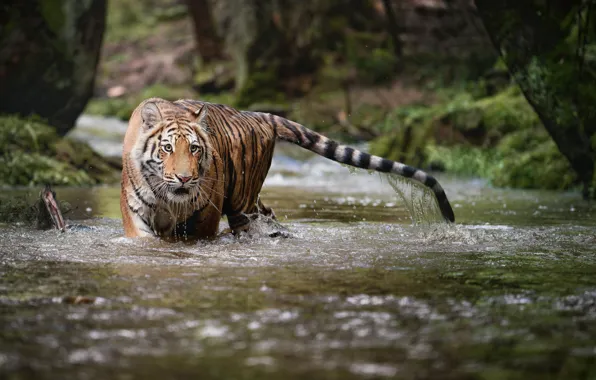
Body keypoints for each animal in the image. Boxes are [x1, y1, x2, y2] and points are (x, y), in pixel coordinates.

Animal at [122, 98, 456, 240]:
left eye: (194, 148)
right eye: (167, 148)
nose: (185, 178)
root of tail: (260, 114)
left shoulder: (206, 213)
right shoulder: (137, 214)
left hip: (242, 201)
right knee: (270, 216)